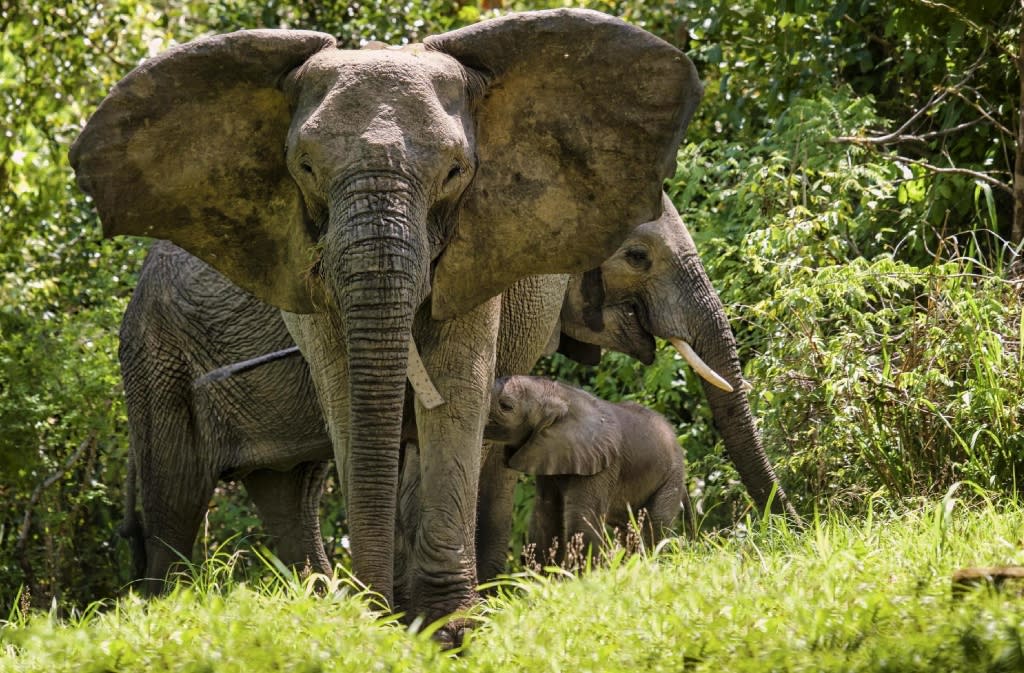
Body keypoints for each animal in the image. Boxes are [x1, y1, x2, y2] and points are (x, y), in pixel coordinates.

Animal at [485, 374, 692, 557]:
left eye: (506, 406)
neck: (560, 395)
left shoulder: (603, 463)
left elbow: (582, 520)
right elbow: (545, 516)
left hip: (672, 476)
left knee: (654, 524)